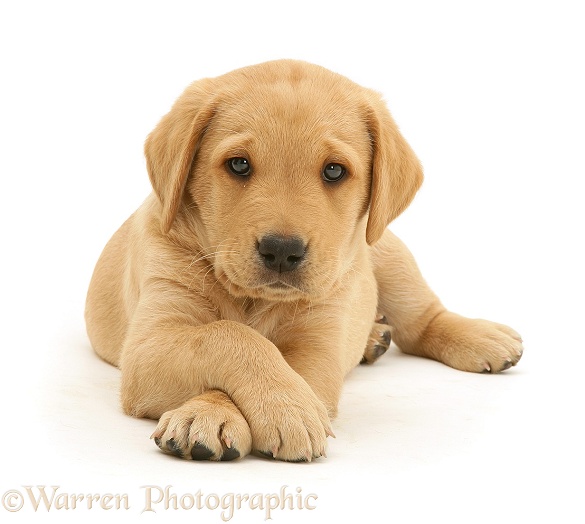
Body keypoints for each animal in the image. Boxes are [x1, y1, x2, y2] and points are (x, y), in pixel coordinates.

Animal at [84, 59, 524, 460]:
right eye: (238, 164)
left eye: (334, 171)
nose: (282, 249)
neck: (255, 301)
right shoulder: (148, 344)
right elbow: (229, 335)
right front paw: (221, 412)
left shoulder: (318, 349)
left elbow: (262, 351)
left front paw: (256, 408)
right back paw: (374, 337)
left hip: (388, 253)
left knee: (422, 320)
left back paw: (477, 336)